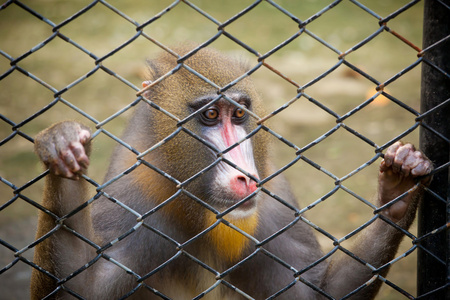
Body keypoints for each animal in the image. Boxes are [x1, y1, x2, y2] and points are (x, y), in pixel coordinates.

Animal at [30, 45, 432, 298]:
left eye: (238, 114)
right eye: (210, 115)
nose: (244, 177)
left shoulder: (274, 199)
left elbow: (316, 293)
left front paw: (400, 187)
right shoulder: (131, 198)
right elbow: (84, 289)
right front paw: (61, 146)